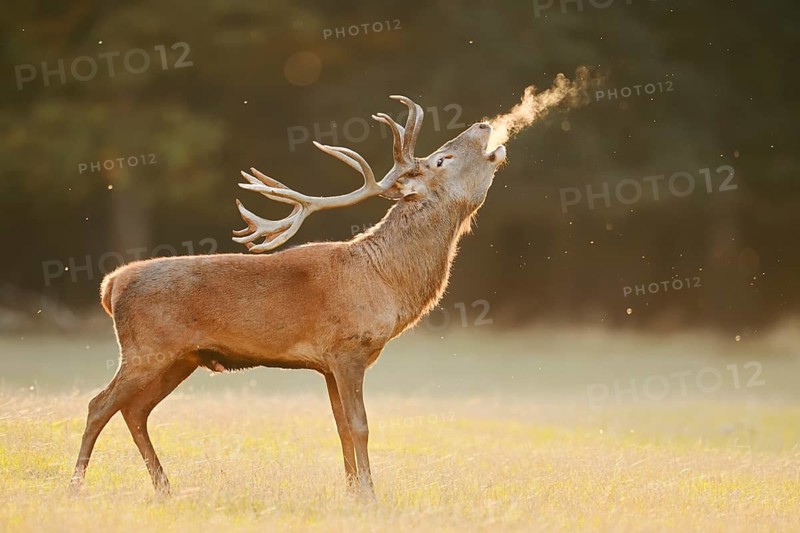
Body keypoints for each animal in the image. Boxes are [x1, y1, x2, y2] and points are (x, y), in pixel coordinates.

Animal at [69, 95, 507, 497]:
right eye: (442, 159)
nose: (485, 124)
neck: (384, 281)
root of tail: (112, 284)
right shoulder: (347, 348)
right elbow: (360, 425)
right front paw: (370, 494)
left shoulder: (328, 364)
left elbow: (341, 427)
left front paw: (351, 491)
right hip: (146, 348)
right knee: (99, 405)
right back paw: (76, 486)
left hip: (181, 358)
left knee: (135, 410)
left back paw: (164, 487)